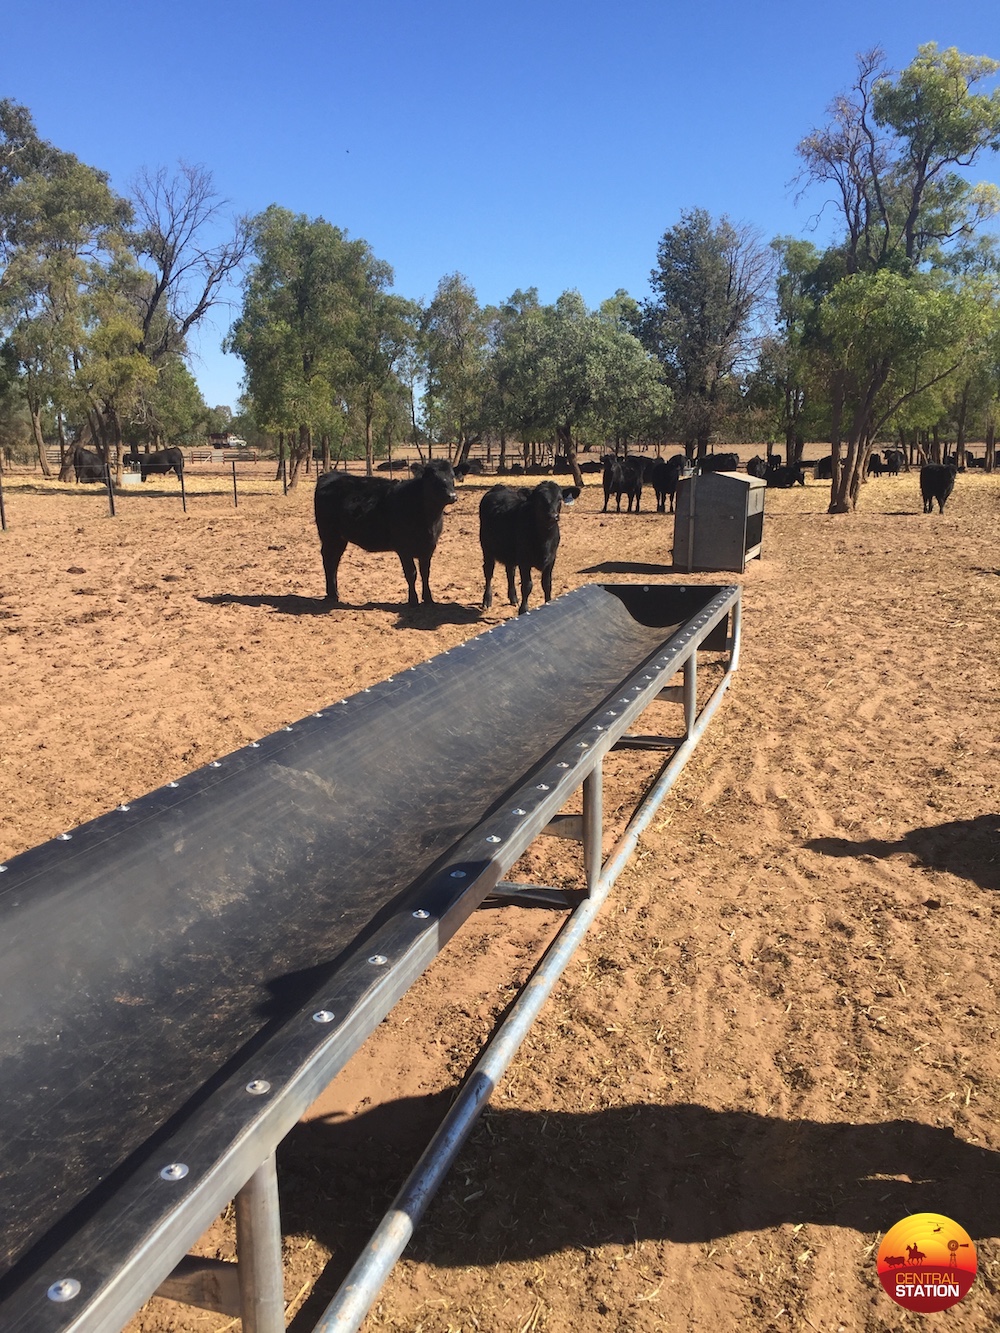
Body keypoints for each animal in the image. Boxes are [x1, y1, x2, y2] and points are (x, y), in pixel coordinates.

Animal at [314, 458, 461, 605]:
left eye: (452, 476)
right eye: (433, 478)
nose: (452, 496)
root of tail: (332, 475)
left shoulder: (429, 547)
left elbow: (425, 573)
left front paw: (429, 599)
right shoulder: (403, 548)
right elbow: (411, 573)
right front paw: (413, 600)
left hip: (340, 538)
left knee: (335, 560)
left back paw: (334, 593)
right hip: (329, 535)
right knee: (328, 559)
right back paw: (332, 594)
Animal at [480, 482, 578, 615]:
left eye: (559, 499)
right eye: (540, 500)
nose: (553, 516)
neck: (544, 539)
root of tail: (498, 487)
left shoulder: (551, 559)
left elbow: (547, 584)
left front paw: (548, 603)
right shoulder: (524, 560)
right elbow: (527, 585)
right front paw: (524, 609)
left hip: (510, 553)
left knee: (510, 572)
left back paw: (513, 598)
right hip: (487, 548)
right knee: (488, 572)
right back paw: (487, 600)